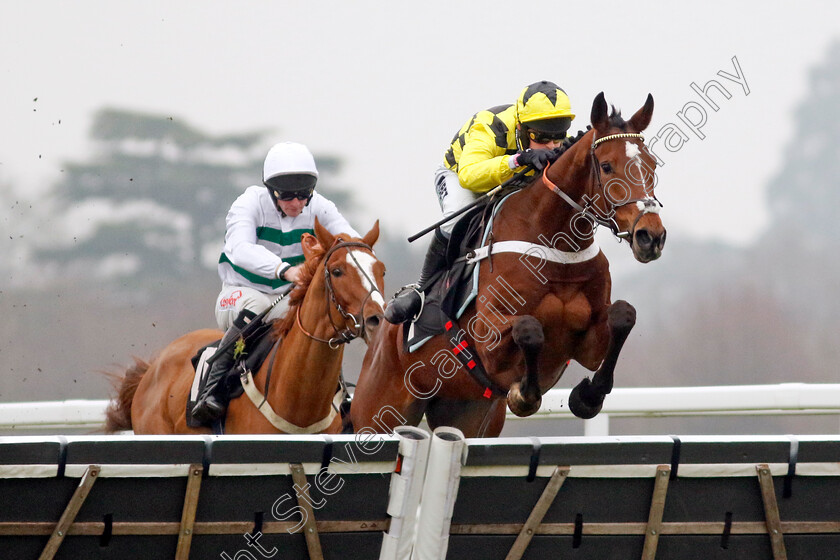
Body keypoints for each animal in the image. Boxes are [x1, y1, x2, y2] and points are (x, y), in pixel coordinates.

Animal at [352, 92, 668, 438]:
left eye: (652, 165)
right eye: (608, 166)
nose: (651, 236)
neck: (555, 246)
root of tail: (377, 346)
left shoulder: (589, 340)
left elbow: (624, 316)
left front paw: (588, 395)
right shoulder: (488, 340)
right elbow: (528, 328)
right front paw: (524, 395)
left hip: (466, 415)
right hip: (378, 416)